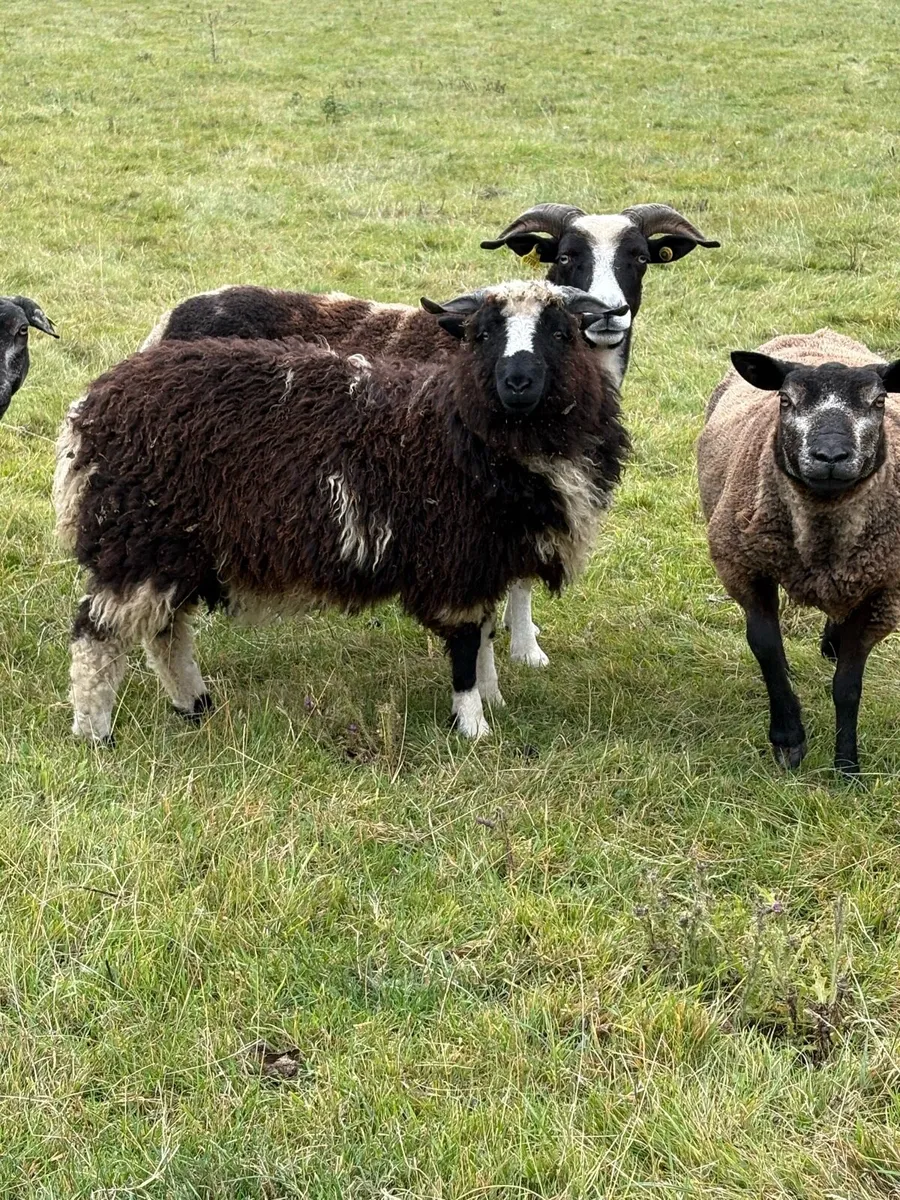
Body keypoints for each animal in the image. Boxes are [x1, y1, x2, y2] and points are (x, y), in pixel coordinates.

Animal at [55, 281, 629, 745]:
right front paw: (472, 726)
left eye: (561, 333)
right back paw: (94, 732)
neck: (453, 425)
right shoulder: (454, 556)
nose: (517, 382)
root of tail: (92, 404)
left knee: (166, 631)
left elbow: (487, 633)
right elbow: (468, 643)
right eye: (483, 334)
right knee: (96, 637)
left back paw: (194, 704)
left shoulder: (484, 555)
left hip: (174, 547)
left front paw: (493, 698)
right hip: (137, 537)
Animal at [697, 330, 900, 778]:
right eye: (786, 400)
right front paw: (789, 740)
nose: (831, 456)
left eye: (878, 401)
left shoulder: (883, 593)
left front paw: (847, 767)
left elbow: (848, 684)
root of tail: (819, 334)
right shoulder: (743, 567)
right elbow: (767, 649)